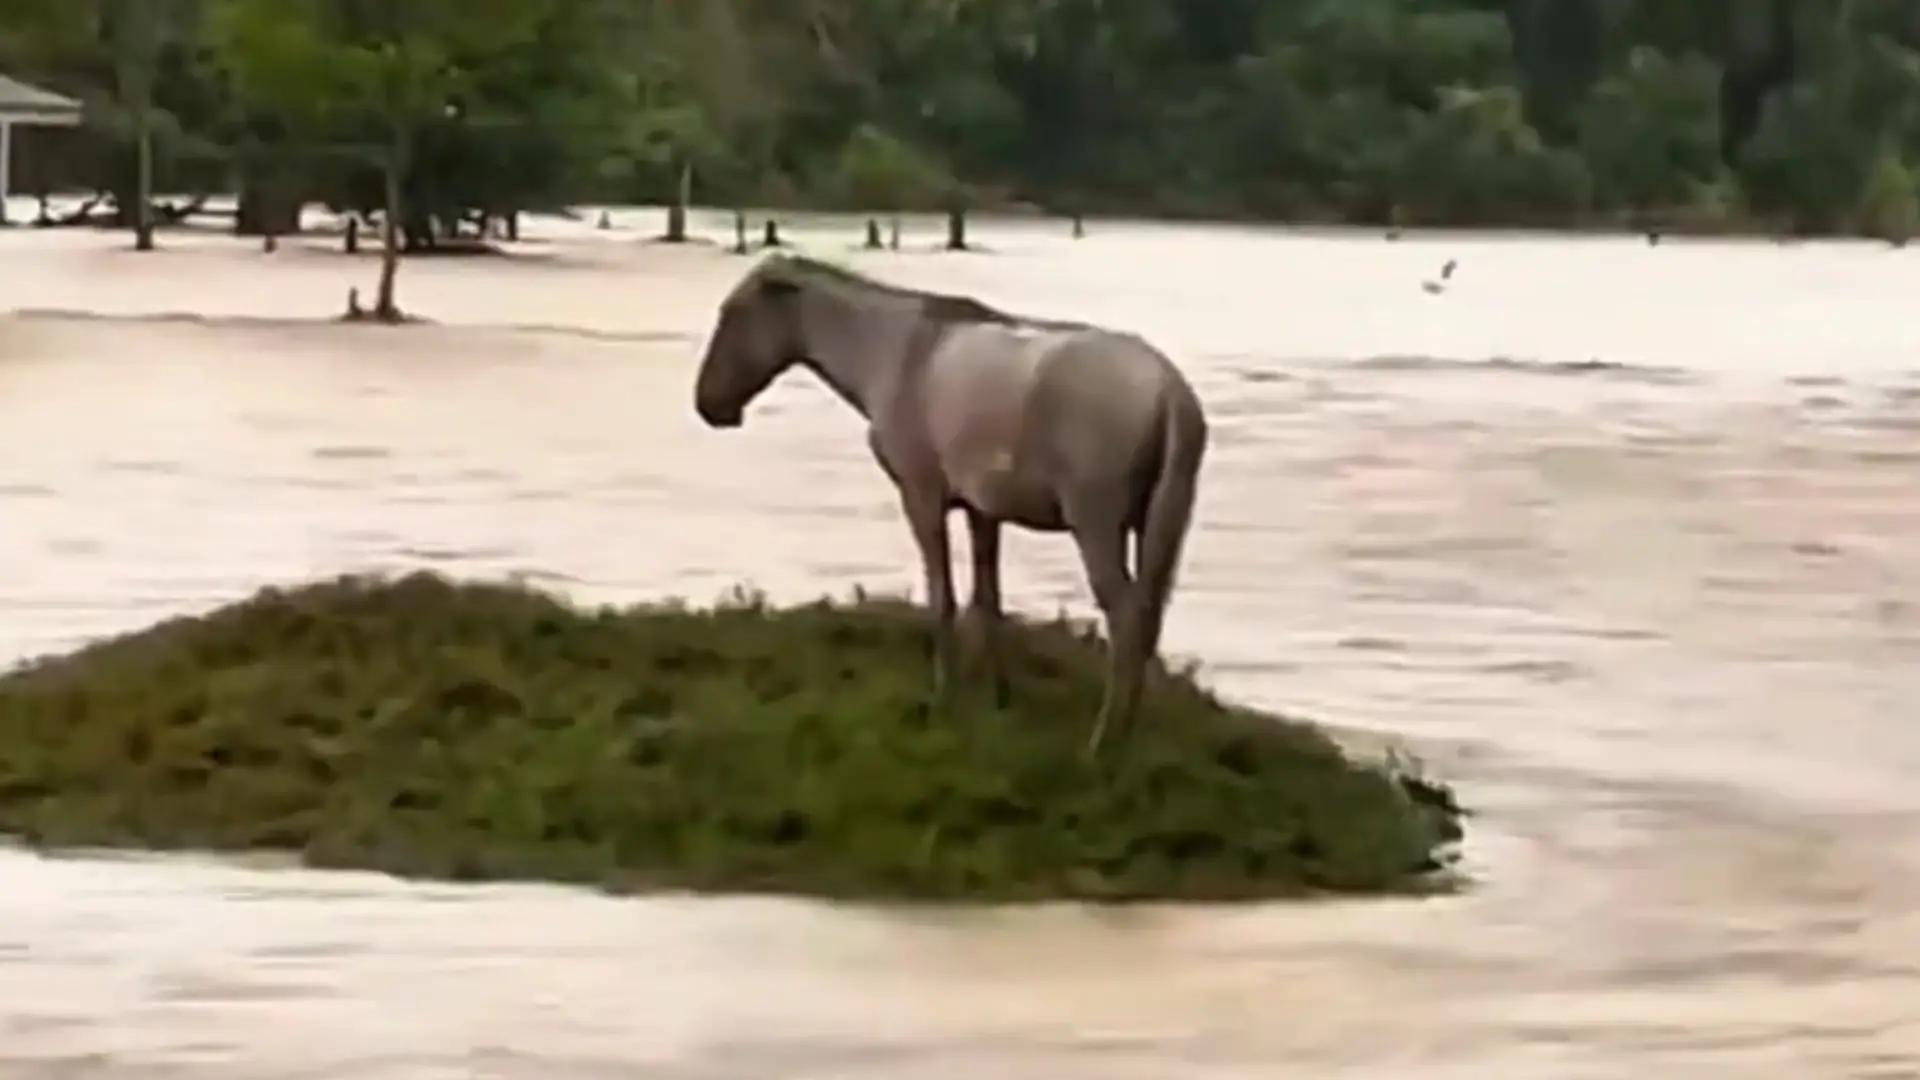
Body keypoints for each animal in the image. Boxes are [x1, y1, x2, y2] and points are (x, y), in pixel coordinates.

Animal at [692, 254, 1209, 751]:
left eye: (733, 314)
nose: (708, 405)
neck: (891, 351)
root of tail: (1170, 391)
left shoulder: (921, 495)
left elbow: (943, 597)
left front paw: (944, 699)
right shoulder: (984, 510)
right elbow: (987, 600)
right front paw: (998, 697)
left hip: (1097, 523)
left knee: (1125, 619)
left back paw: (1105, 742)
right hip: (1156, 523)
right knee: (1149, 619)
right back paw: (1132, 731)